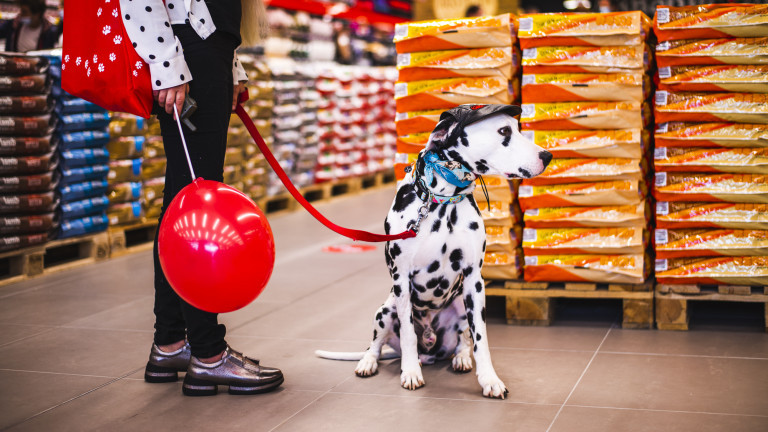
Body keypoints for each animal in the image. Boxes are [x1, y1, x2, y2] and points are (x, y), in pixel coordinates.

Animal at [316, 104, 552, 398]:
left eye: (517, 128)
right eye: (503, 131)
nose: (548, 156)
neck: (443, 201)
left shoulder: (474, 281)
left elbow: (480, 338)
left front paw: (489, 379)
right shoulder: (401, 279)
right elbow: (407, 333)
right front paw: (409, 373)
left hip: (461, 304)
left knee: (463, 341)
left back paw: (460, 358)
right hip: (385, 310)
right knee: (378, 344)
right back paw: (372, 362)